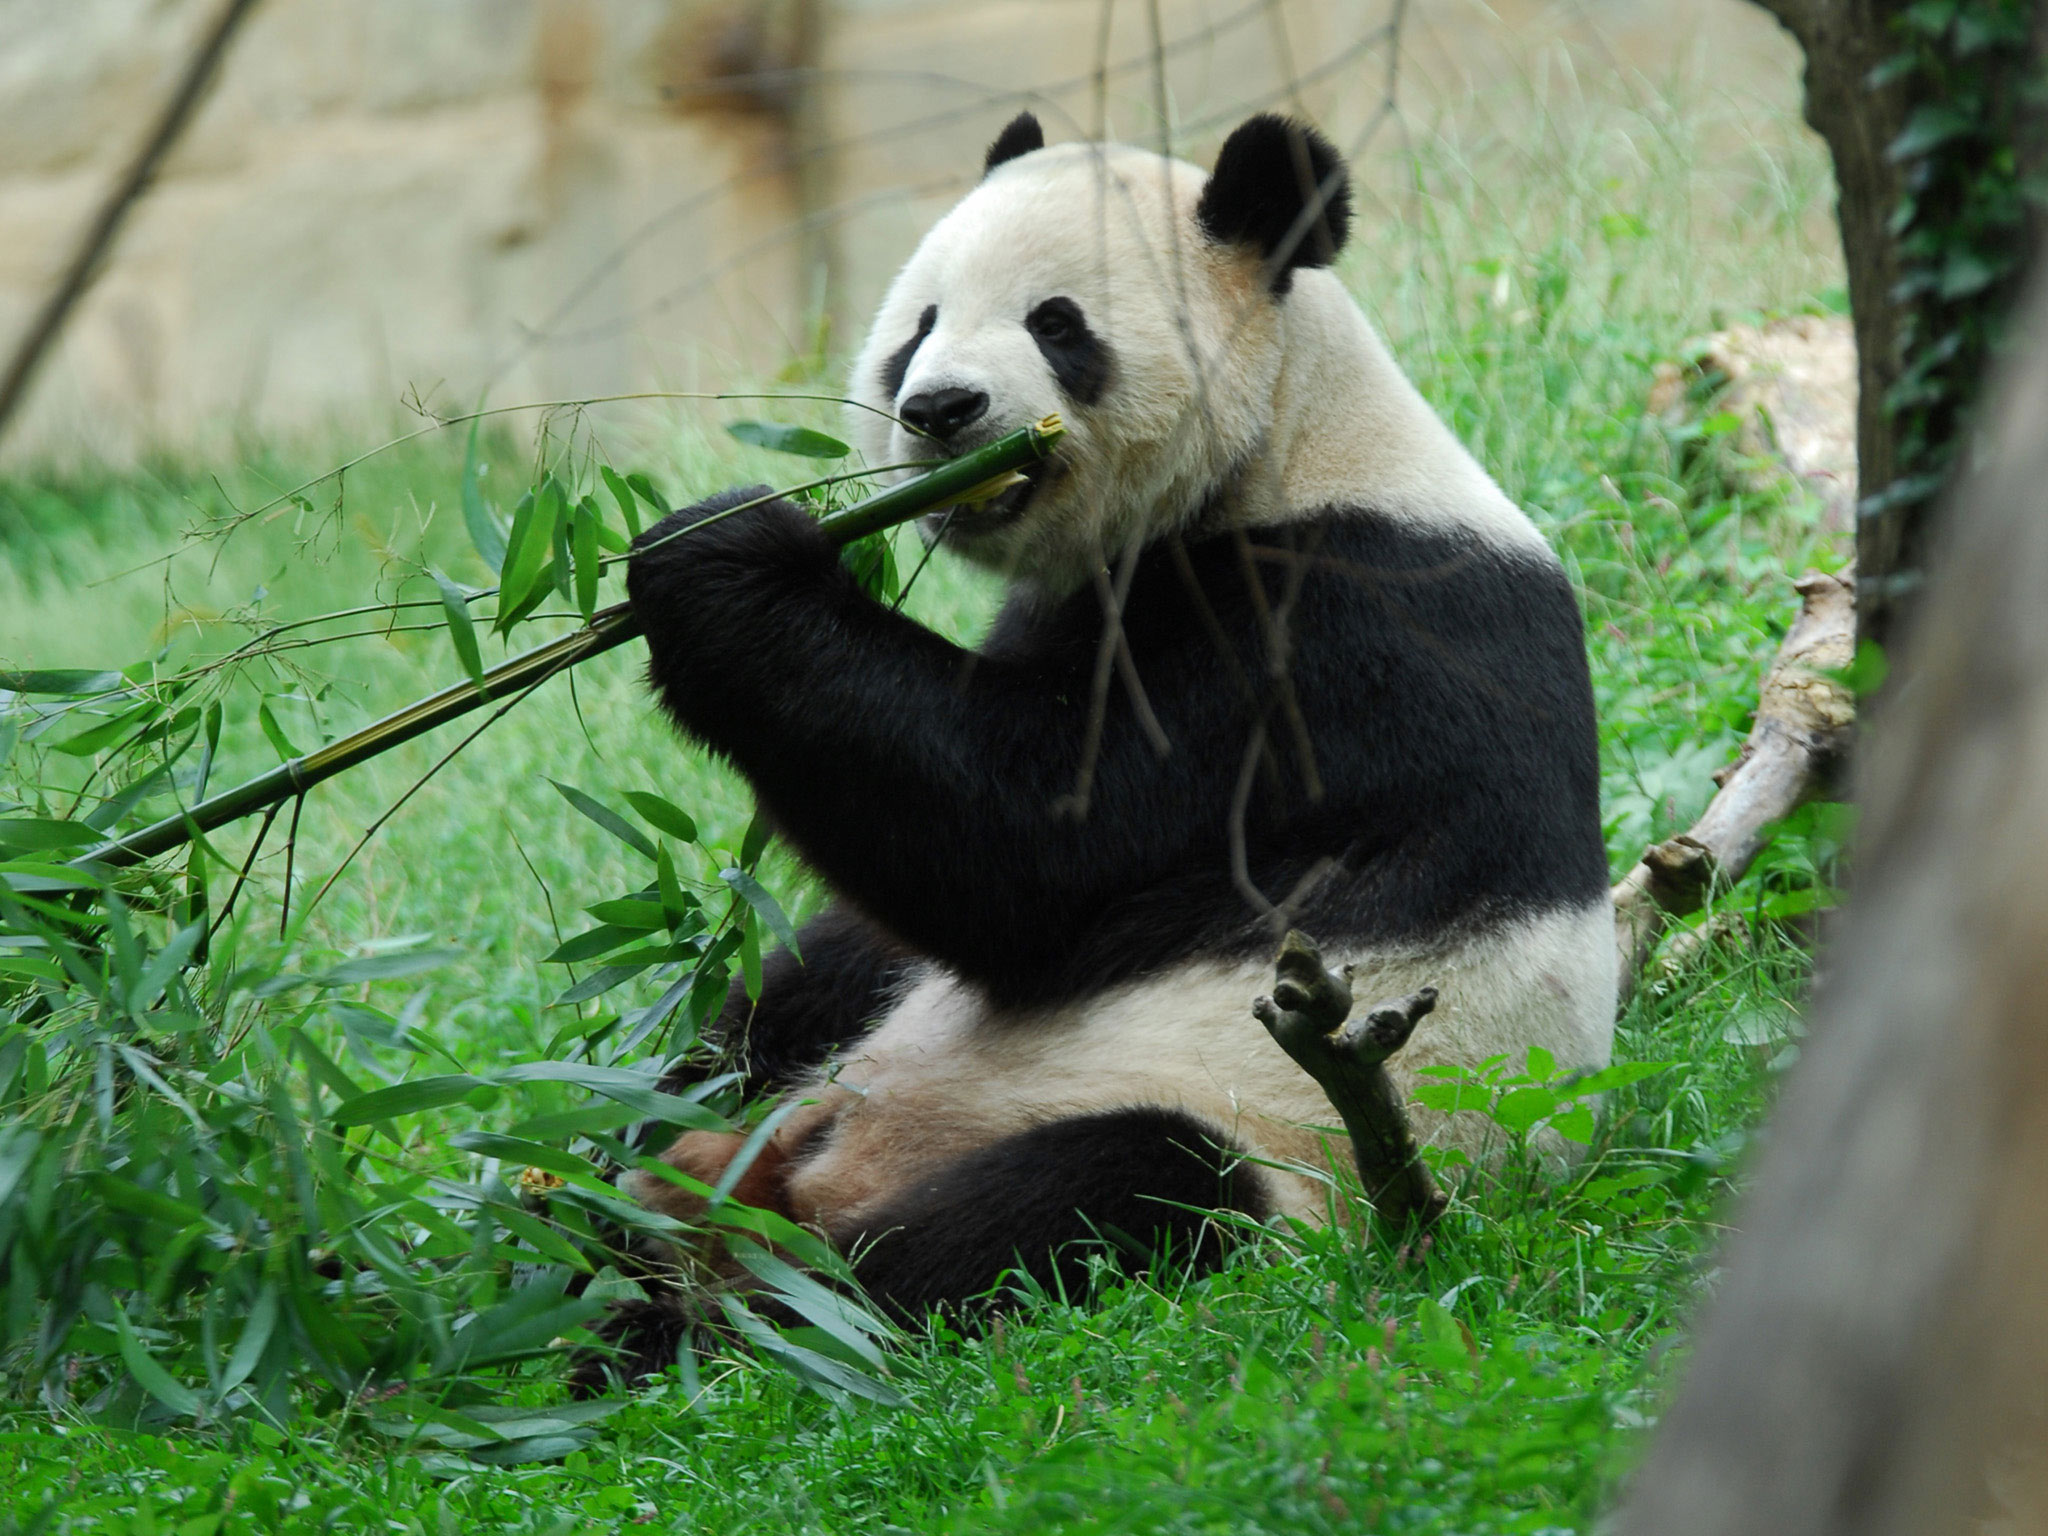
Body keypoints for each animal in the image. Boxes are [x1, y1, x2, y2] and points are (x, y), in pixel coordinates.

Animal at [612, 111, 1614, 1347]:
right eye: (918, 325)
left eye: (1057, 323)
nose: (939, 412)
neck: (1291, 441)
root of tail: (805, 1177)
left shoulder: (1339, 642)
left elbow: (1024, 852)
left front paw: (719, 562)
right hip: (826, 1053)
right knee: (792, 998)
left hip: (1275, 1145)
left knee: (1092, 1197)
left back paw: (695, 1328)